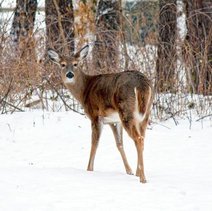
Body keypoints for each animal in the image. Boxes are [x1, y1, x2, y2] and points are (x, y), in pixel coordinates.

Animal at [47, 45, 152, 183]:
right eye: (63, 64)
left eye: (75, 64)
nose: (69, 74)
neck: (84, 91)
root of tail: (141, 84)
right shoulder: (113, 120)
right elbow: (119, 144)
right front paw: (129, 171)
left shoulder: (95, 116)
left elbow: (94, 143)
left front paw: (89, 169)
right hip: (145, 113)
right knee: (142, 138)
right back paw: (138, 173)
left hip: (126, 111)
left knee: (139, 139)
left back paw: (143, 178)